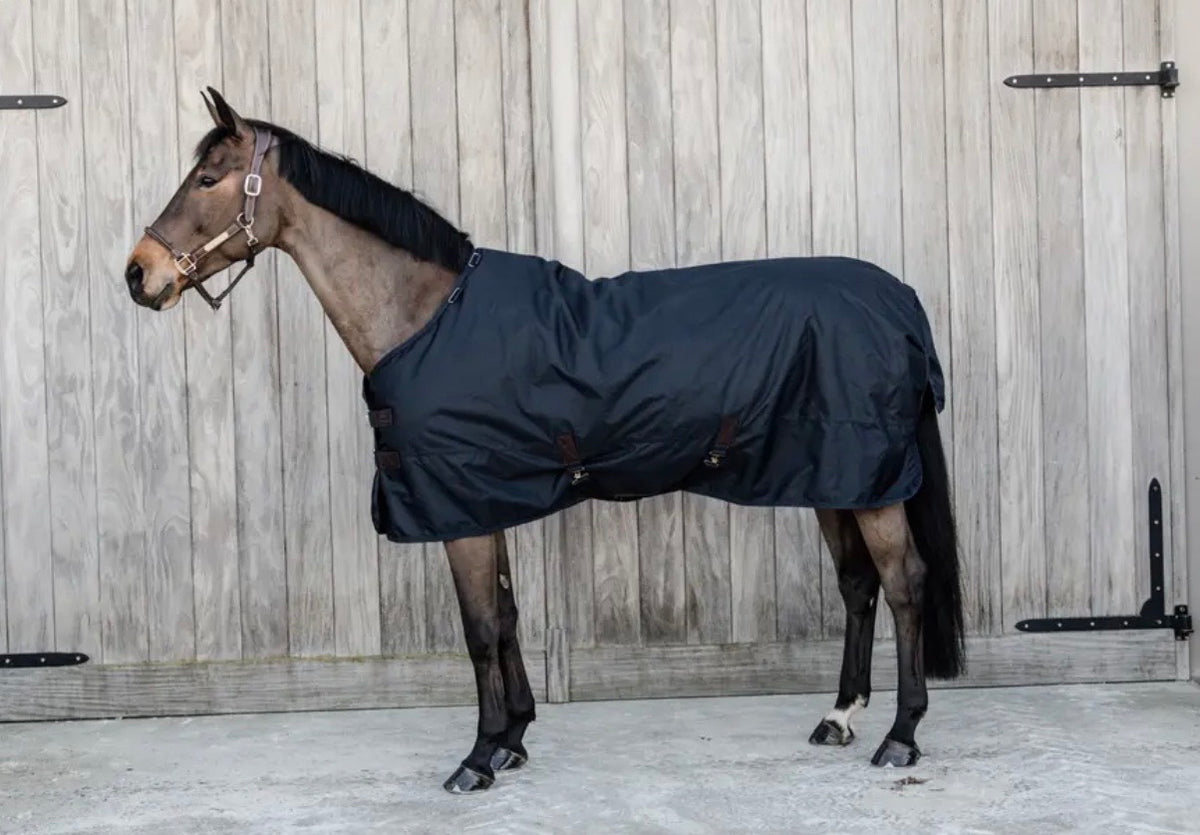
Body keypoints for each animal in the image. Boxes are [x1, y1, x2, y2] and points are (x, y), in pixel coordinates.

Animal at [124, 88, 965, 794]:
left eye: (208, 178)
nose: (139, 274)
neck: (427, 316)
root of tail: (898, 299)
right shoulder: (482, 499)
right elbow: (507, 614)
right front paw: (514, 738)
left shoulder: (459, 509)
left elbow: (478, 628)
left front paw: (477, 756)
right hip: (834, 478)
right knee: (858, 586)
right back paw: (840, 717)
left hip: (869, 482)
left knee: (904, 584)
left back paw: (900, 735)